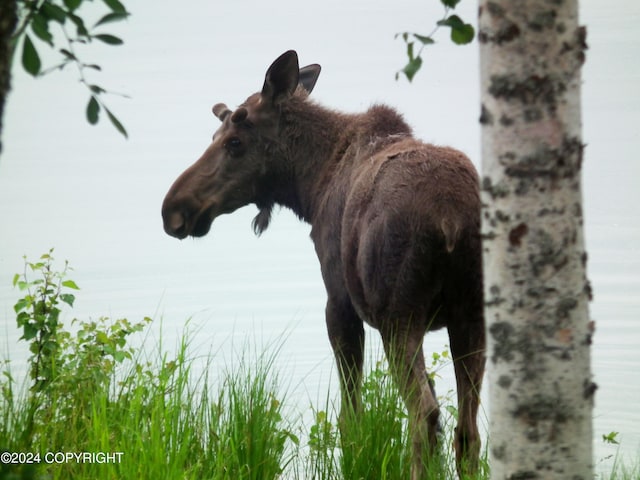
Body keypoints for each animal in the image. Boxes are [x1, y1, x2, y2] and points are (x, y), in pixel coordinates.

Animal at [162, 50, 482, 478]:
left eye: (234, 142)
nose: (173, 209)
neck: (310, 186)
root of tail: (451, 218)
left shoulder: (339, 303)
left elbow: (350, 418)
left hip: (401, 316)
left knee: (425, 414)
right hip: (470, 315)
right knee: (467, 431)